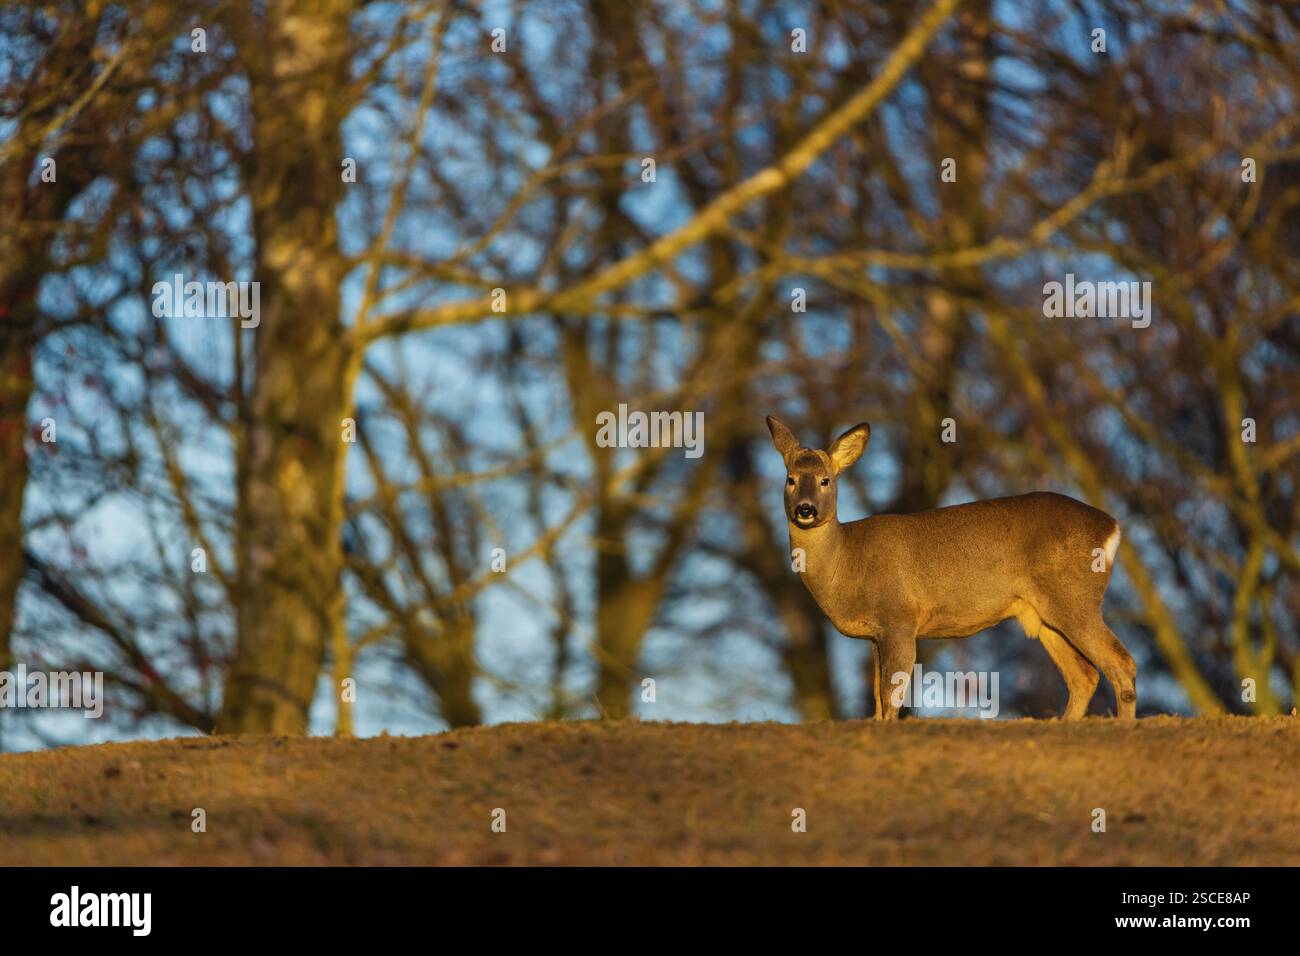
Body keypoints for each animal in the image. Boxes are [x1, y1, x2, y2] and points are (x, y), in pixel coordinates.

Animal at [765, 416, 1137, 721]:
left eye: (826, 480)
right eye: (791, 479)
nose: (805, 509)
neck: (846, 562)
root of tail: (1112, 527)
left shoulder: (899, 618)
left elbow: (891, 695)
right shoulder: (875, 635)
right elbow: (877, 698)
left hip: (1074, 598)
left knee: (1121, 662)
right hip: (1043, 614)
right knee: (1084, 675)